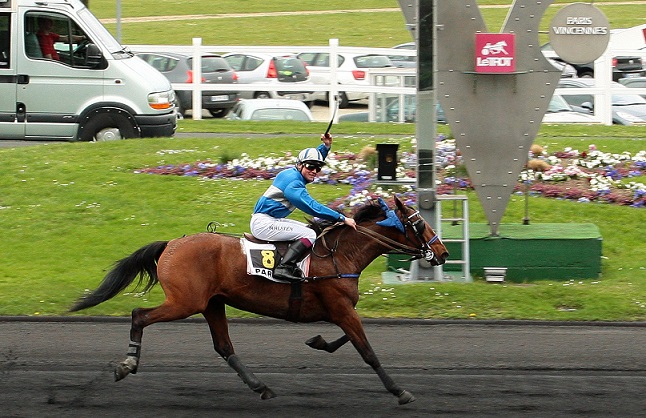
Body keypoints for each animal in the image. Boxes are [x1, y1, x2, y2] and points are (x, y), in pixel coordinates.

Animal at [69, 197, 446, 404]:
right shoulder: (340, 307)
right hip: (186, 302)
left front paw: (317, 340)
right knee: (139, 315)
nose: (441, 252)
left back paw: (260, 386)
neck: (339, 255)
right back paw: (127, 364)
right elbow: (367, 351)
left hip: (212, 304)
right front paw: (399, 390)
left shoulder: (339, 309)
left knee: (224, 346)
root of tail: (171, 244)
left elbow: (345, 339)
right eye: (420, 224)